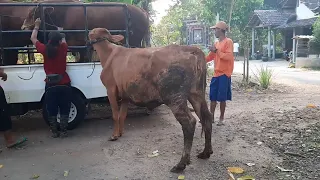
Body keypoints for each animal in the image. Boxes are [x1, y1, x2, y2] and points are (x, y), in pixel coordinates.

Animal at [21, 0, 149, 62]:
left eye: (32, 13)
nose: (23, 27)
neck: (64, 14)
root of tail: (143, 11)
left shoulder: (81, 44)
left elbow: (83, 59)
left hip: (135, 42)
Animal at [88, 27, 212, 172]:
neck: (108, 55)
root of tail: (191, 49)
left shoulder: (110, 89)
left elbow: (114, 115)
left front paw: (114, 136)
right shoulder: (125, 95)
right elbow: (122, 115)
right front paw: (120, 133)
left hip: (175, 97)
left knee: (189, 122)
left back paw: (181, 164)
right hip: (196, 94)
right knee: (207, 117)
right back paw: (206, 152)